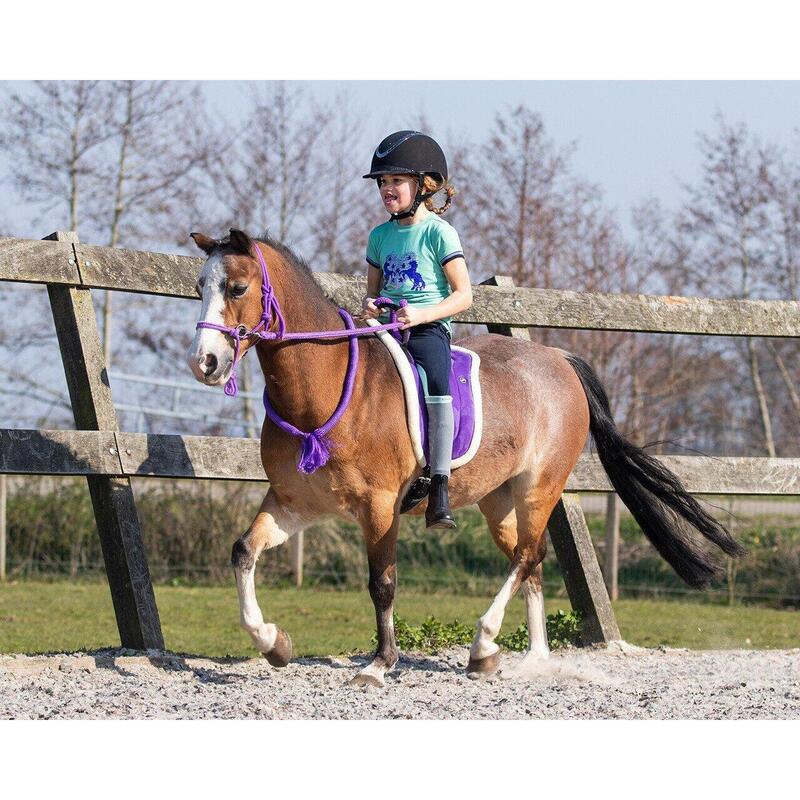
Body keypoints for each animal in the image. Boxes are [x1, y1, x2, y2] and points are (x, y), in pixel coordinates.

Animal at [186, 228, 746, 687]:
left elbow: (382, 584)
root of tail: (559, 359)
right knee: (530, 559)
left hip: (539, 487)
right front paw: (273, 643)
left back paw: (482, 643)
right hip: (497, 501)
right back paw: (526, 657)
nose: (204, 363)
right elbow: (243, 552)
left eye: (237, 288)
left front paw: (378, 665)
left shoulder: (380, 508)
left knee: (526, 556)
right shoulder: (294, 503)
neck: (321, 393)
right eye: (199, 287)